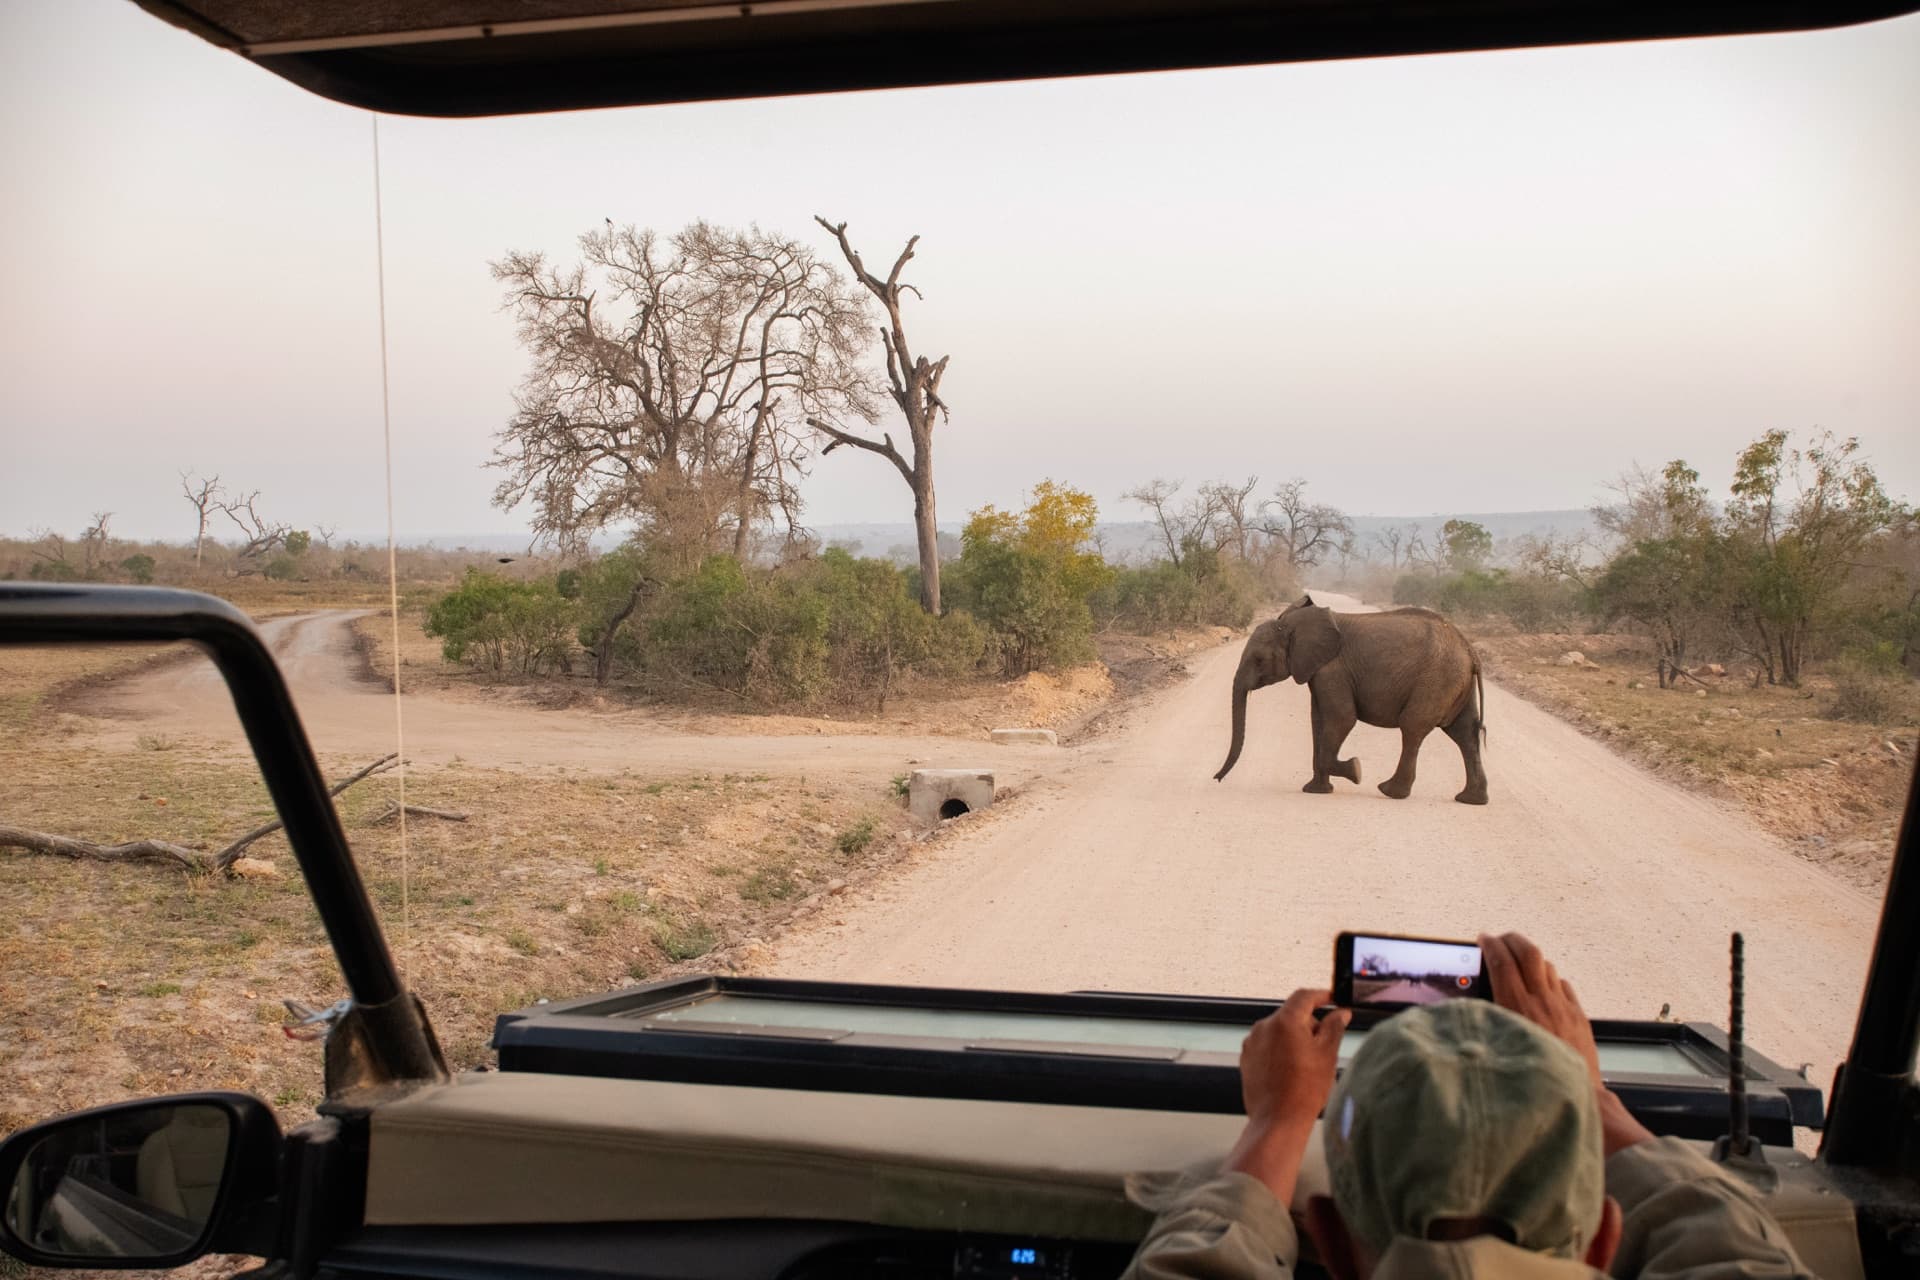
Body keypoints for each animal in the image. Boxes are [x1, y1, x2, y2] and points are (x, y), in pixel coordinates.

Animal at [1213, 595, 1488, 805]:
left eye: (1259, 660)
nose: (1216, 779)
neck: (1295, 623)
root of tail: (1470, 651)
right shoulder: (1319, 670)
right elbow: (1318, 721)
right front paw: (1316, 790)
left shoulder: (1333, 669)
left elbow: (1342, 718)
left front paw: (1356, 770)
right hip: (1454, 683)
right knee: (1465, 734)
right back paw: (1470, 799)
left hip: (1436, 680)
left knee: (1413, 728)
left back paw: (1390, 791)